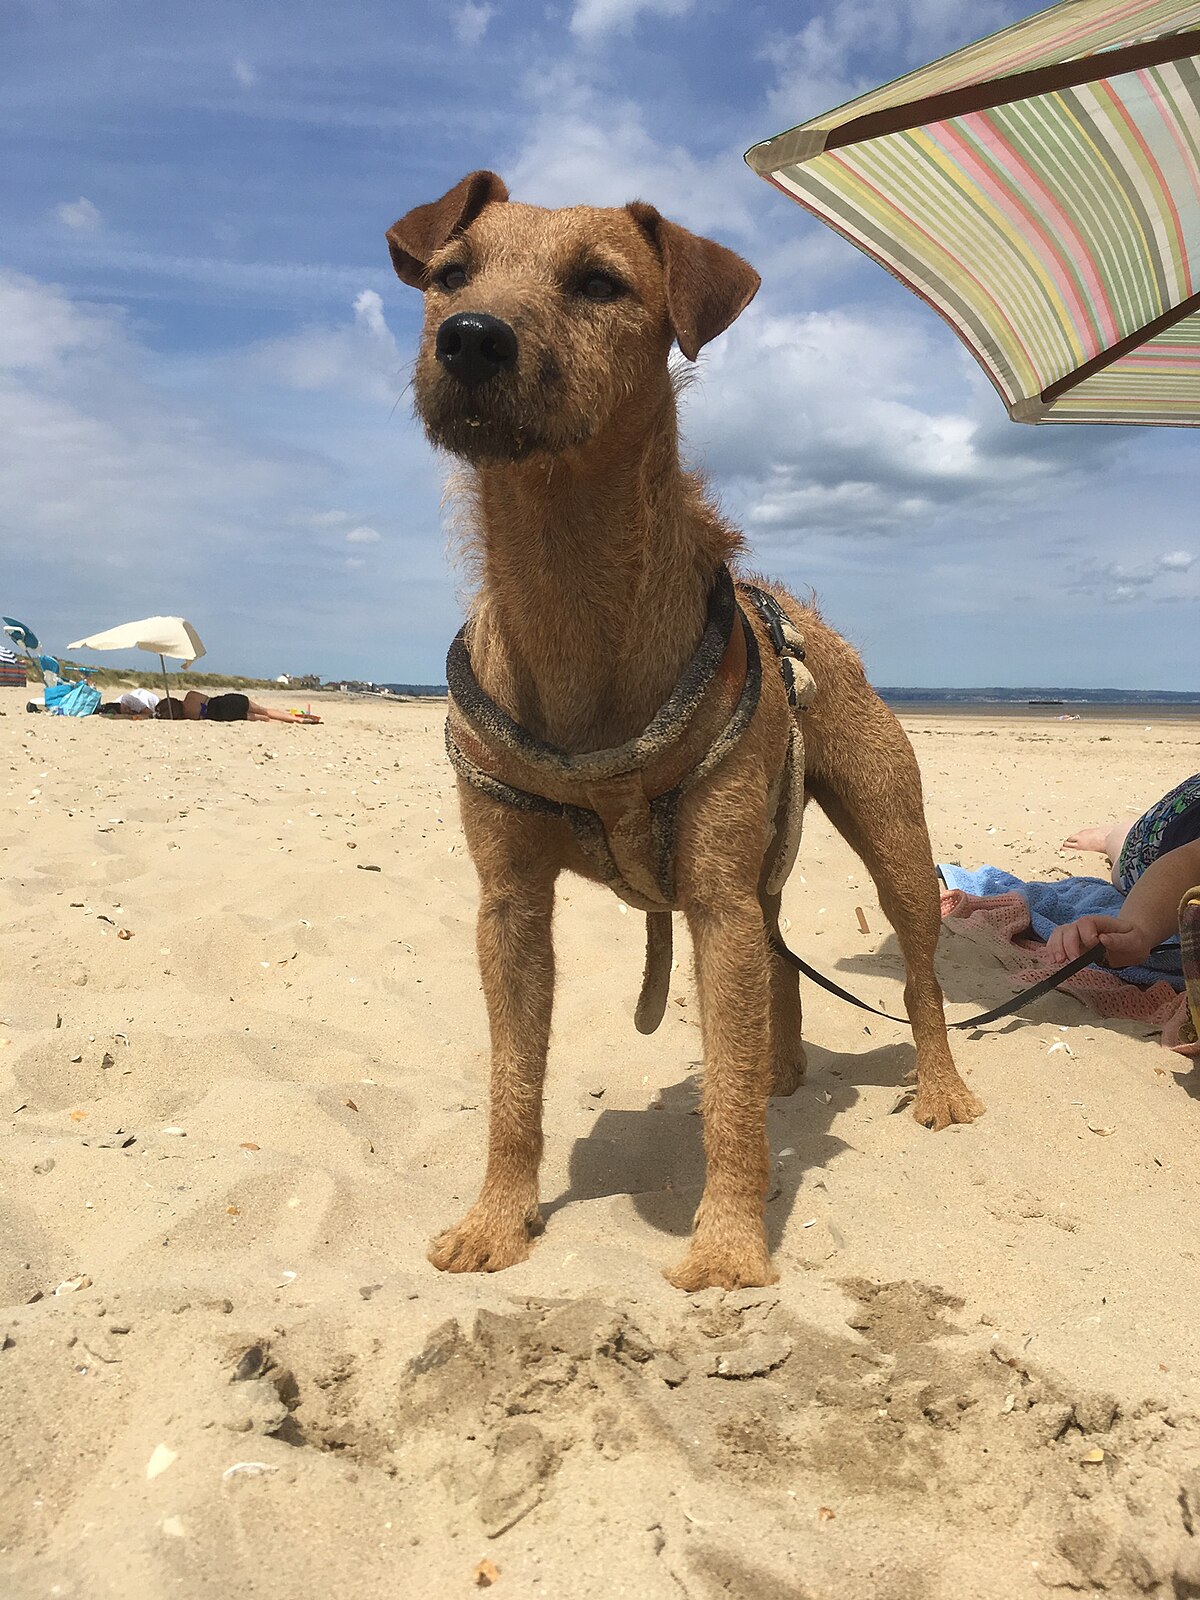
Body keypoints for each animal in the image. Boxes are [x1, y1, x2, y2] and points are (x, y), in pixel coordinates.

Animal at [387, 172, 985, 1286]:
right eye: (450, 275)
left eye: (598, 284)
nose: (471, 339)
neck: (574, 599)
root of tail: (811, 620)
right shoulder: (511, 907)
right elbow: (513, 1083)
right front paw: (496, 1221)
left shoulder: (711, 897)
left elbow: (727, 1112)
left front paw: (728, 1249)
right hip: (762, 868)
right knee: (779, 967)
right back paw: (786, 1071)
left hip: (891, 837)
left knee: (921, 974)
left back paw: (941, 1090)